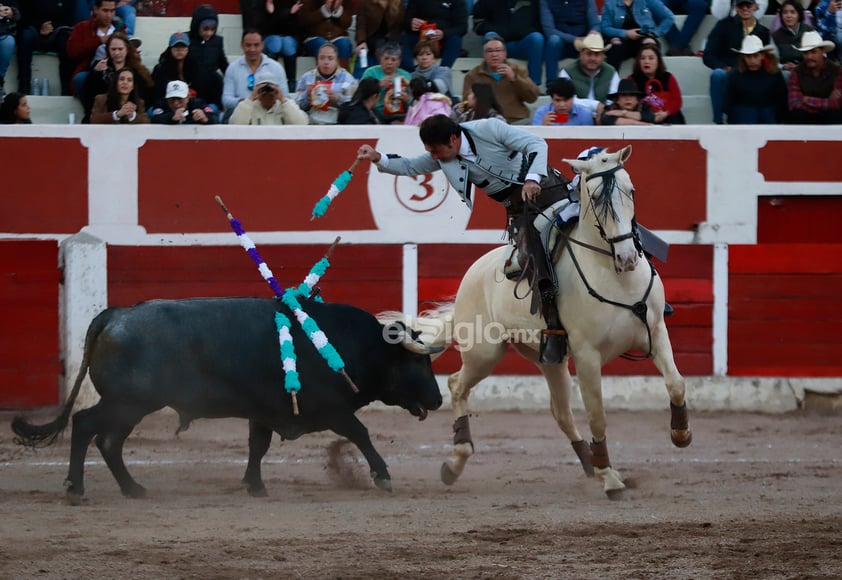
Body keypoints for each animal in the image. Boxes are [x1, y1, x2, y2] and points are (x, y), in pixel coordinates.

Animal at [13, 296, 442, 500]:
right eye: (417, 363)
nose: (438, 400)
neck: (350, 344)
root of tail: (115, 315)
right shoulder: (332, 409)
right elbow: (362, 433)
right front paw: (383, 477)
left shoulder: (264, 411)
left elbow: (257, 446)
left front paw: (254, 485)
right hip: (127, 401)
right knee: (86, 425)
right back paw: (76, 488)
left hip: (131, 406)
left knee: (108, 441)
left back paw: (133, 489)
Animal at [384, 145, 692, 498]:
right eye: (595, 197)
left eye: (632, 190)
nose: (627, 257)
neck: (615, 276)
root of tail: (473, 273)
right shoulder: (587, 355)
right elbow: (597, 415)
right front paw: (611, 479)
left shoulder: (655, 332)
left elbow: (676, 383)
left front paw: (681, 435)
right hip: (484, 353)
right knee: (456, 384)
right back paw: (456, 461)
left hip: (549, 358)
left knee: (561, 412)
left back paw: (590, 463)